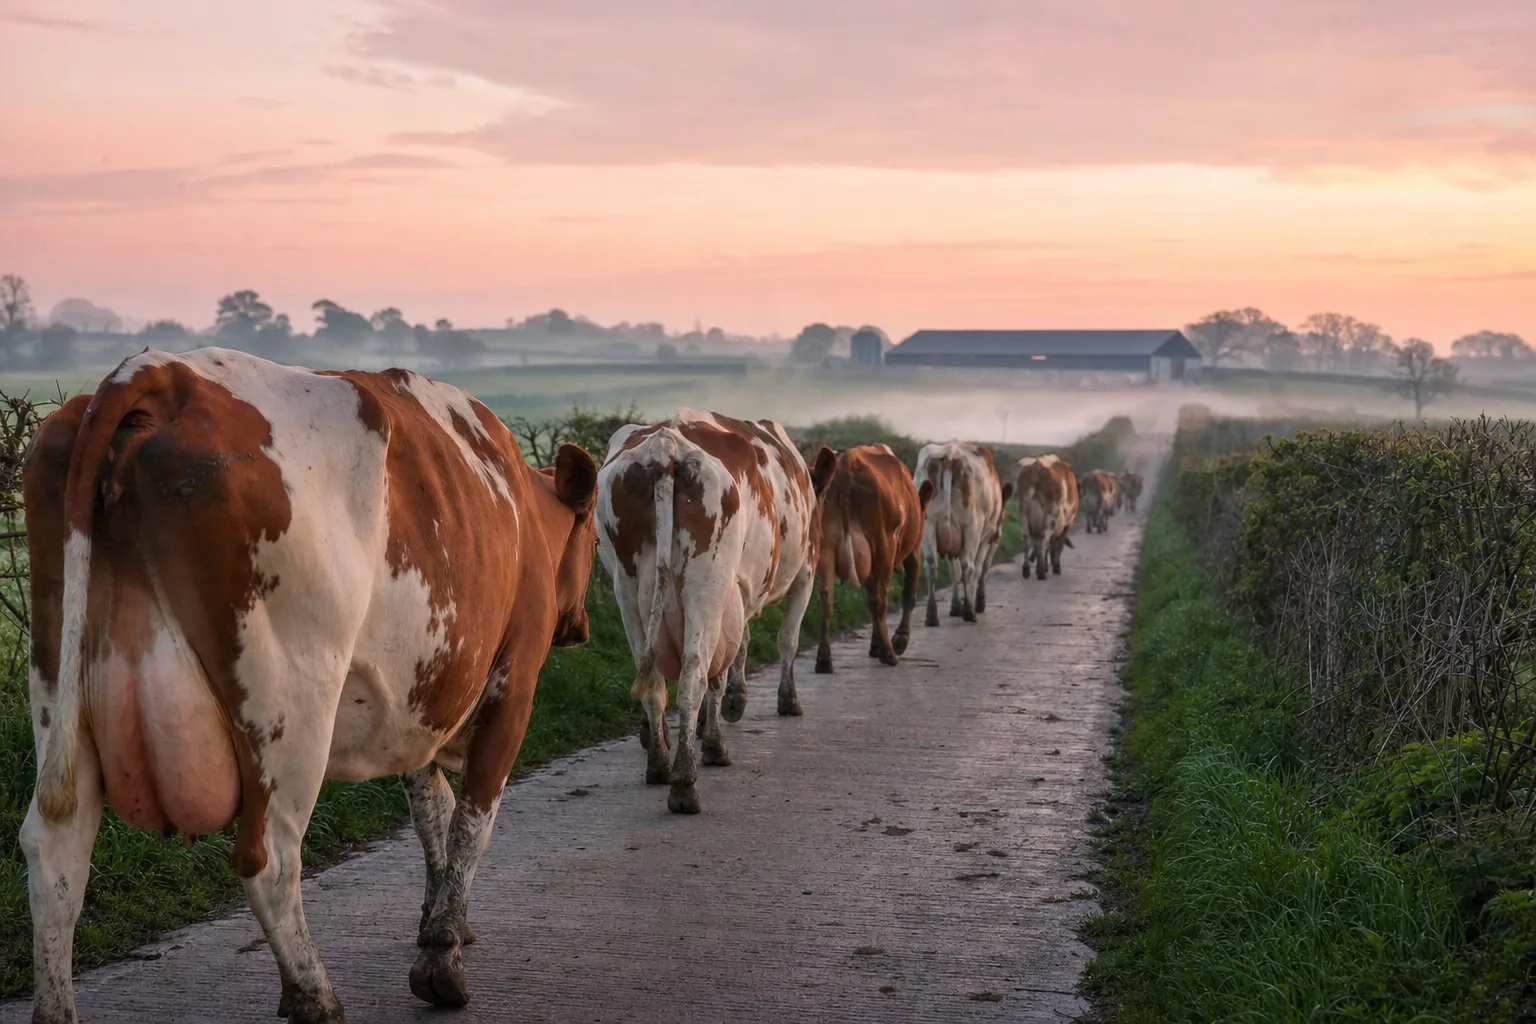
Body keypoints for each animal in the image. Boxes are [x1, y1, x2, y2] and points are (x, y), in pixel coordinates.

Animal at [21, 348, 600, 1023]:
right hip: (290, 704)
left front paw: (439, 922)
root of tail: (163, 374)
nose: (581, 625)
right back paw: (315, 998)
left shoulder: (415, 704)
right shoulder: (513, 685)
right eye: (592, 536)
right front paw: (442, 957)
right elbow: (472, 821)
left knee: (56, 852)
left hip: (59, 679)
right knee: (268, 858)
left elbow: (431, 809)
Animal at [596, 409, 818, 815]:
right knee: (694, 675)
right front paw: (764, 707)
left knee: (651, 680)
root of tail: (666, 444)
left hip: (628, 589)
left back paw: (659, 764)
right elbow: (781, 641)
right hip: (708, 584)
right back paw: (685, 783)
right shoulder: (803, 571)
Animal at [806, 444, 933, 674]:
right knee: (879, 600)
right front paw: (899, 639)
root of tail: (845, 463)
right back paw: (889, 653)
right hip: (883, 544)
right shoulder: (913, 551)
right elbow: (908, 594)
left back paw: (824, 659)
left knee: (826, 599)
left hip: (825, 547)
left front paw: (875, 644)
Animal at [914, 440, 1012, 626]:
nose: (999, 532)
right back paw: (969, 611)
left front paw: (955, 606)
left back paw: (931, 615)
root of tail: (949, 454)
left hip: (928, 524)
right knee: (969, 565)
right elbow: (981, 568)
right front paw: (976, 602)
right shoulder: (987, 537)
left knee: (931, 565)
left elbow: (954, 572)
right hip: (972, 526)